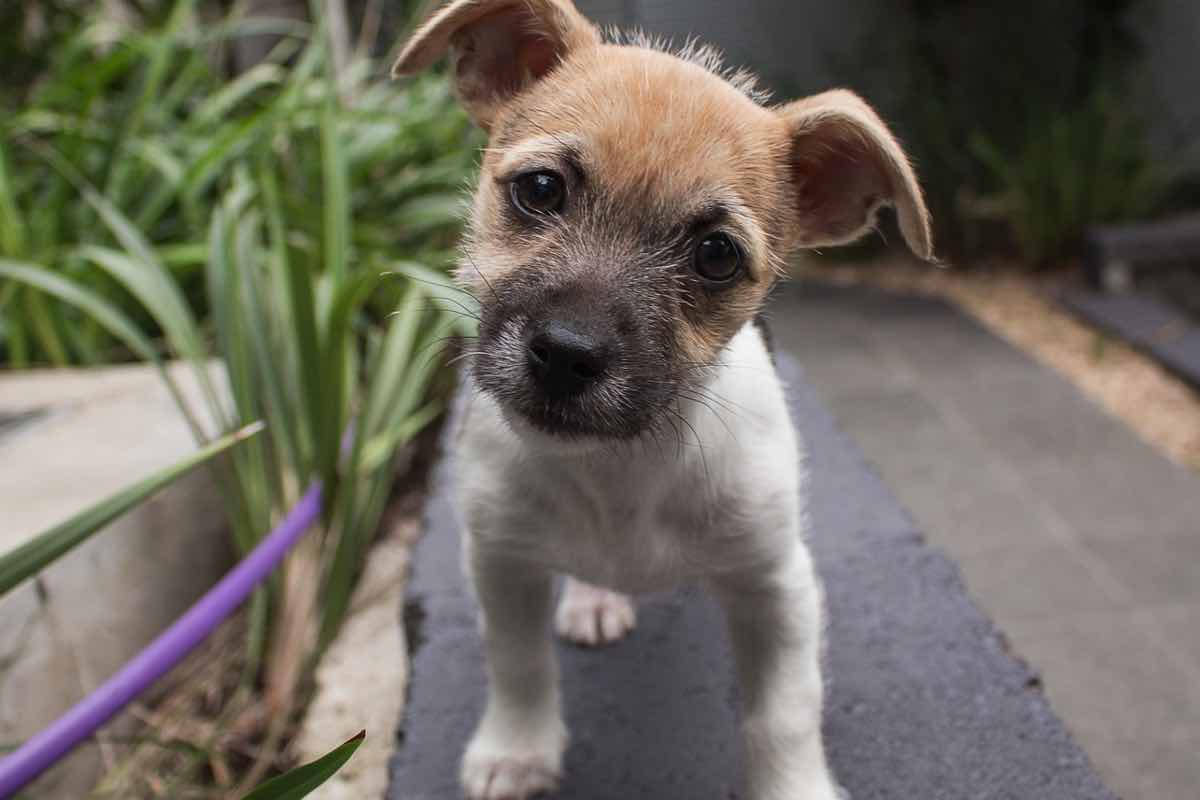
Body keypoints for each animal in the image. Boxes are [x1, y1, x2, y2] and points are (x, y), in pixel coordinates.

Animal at [393, 3, 926, 796]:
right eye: (541, 190)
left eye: (716, 255)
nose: (566, 355)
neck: (622, 470)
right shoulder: (500, 561)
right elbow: (518, 666)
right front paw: (517, 749)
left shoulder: (778, 589)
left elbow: (784, 713)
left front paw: (792, 785)